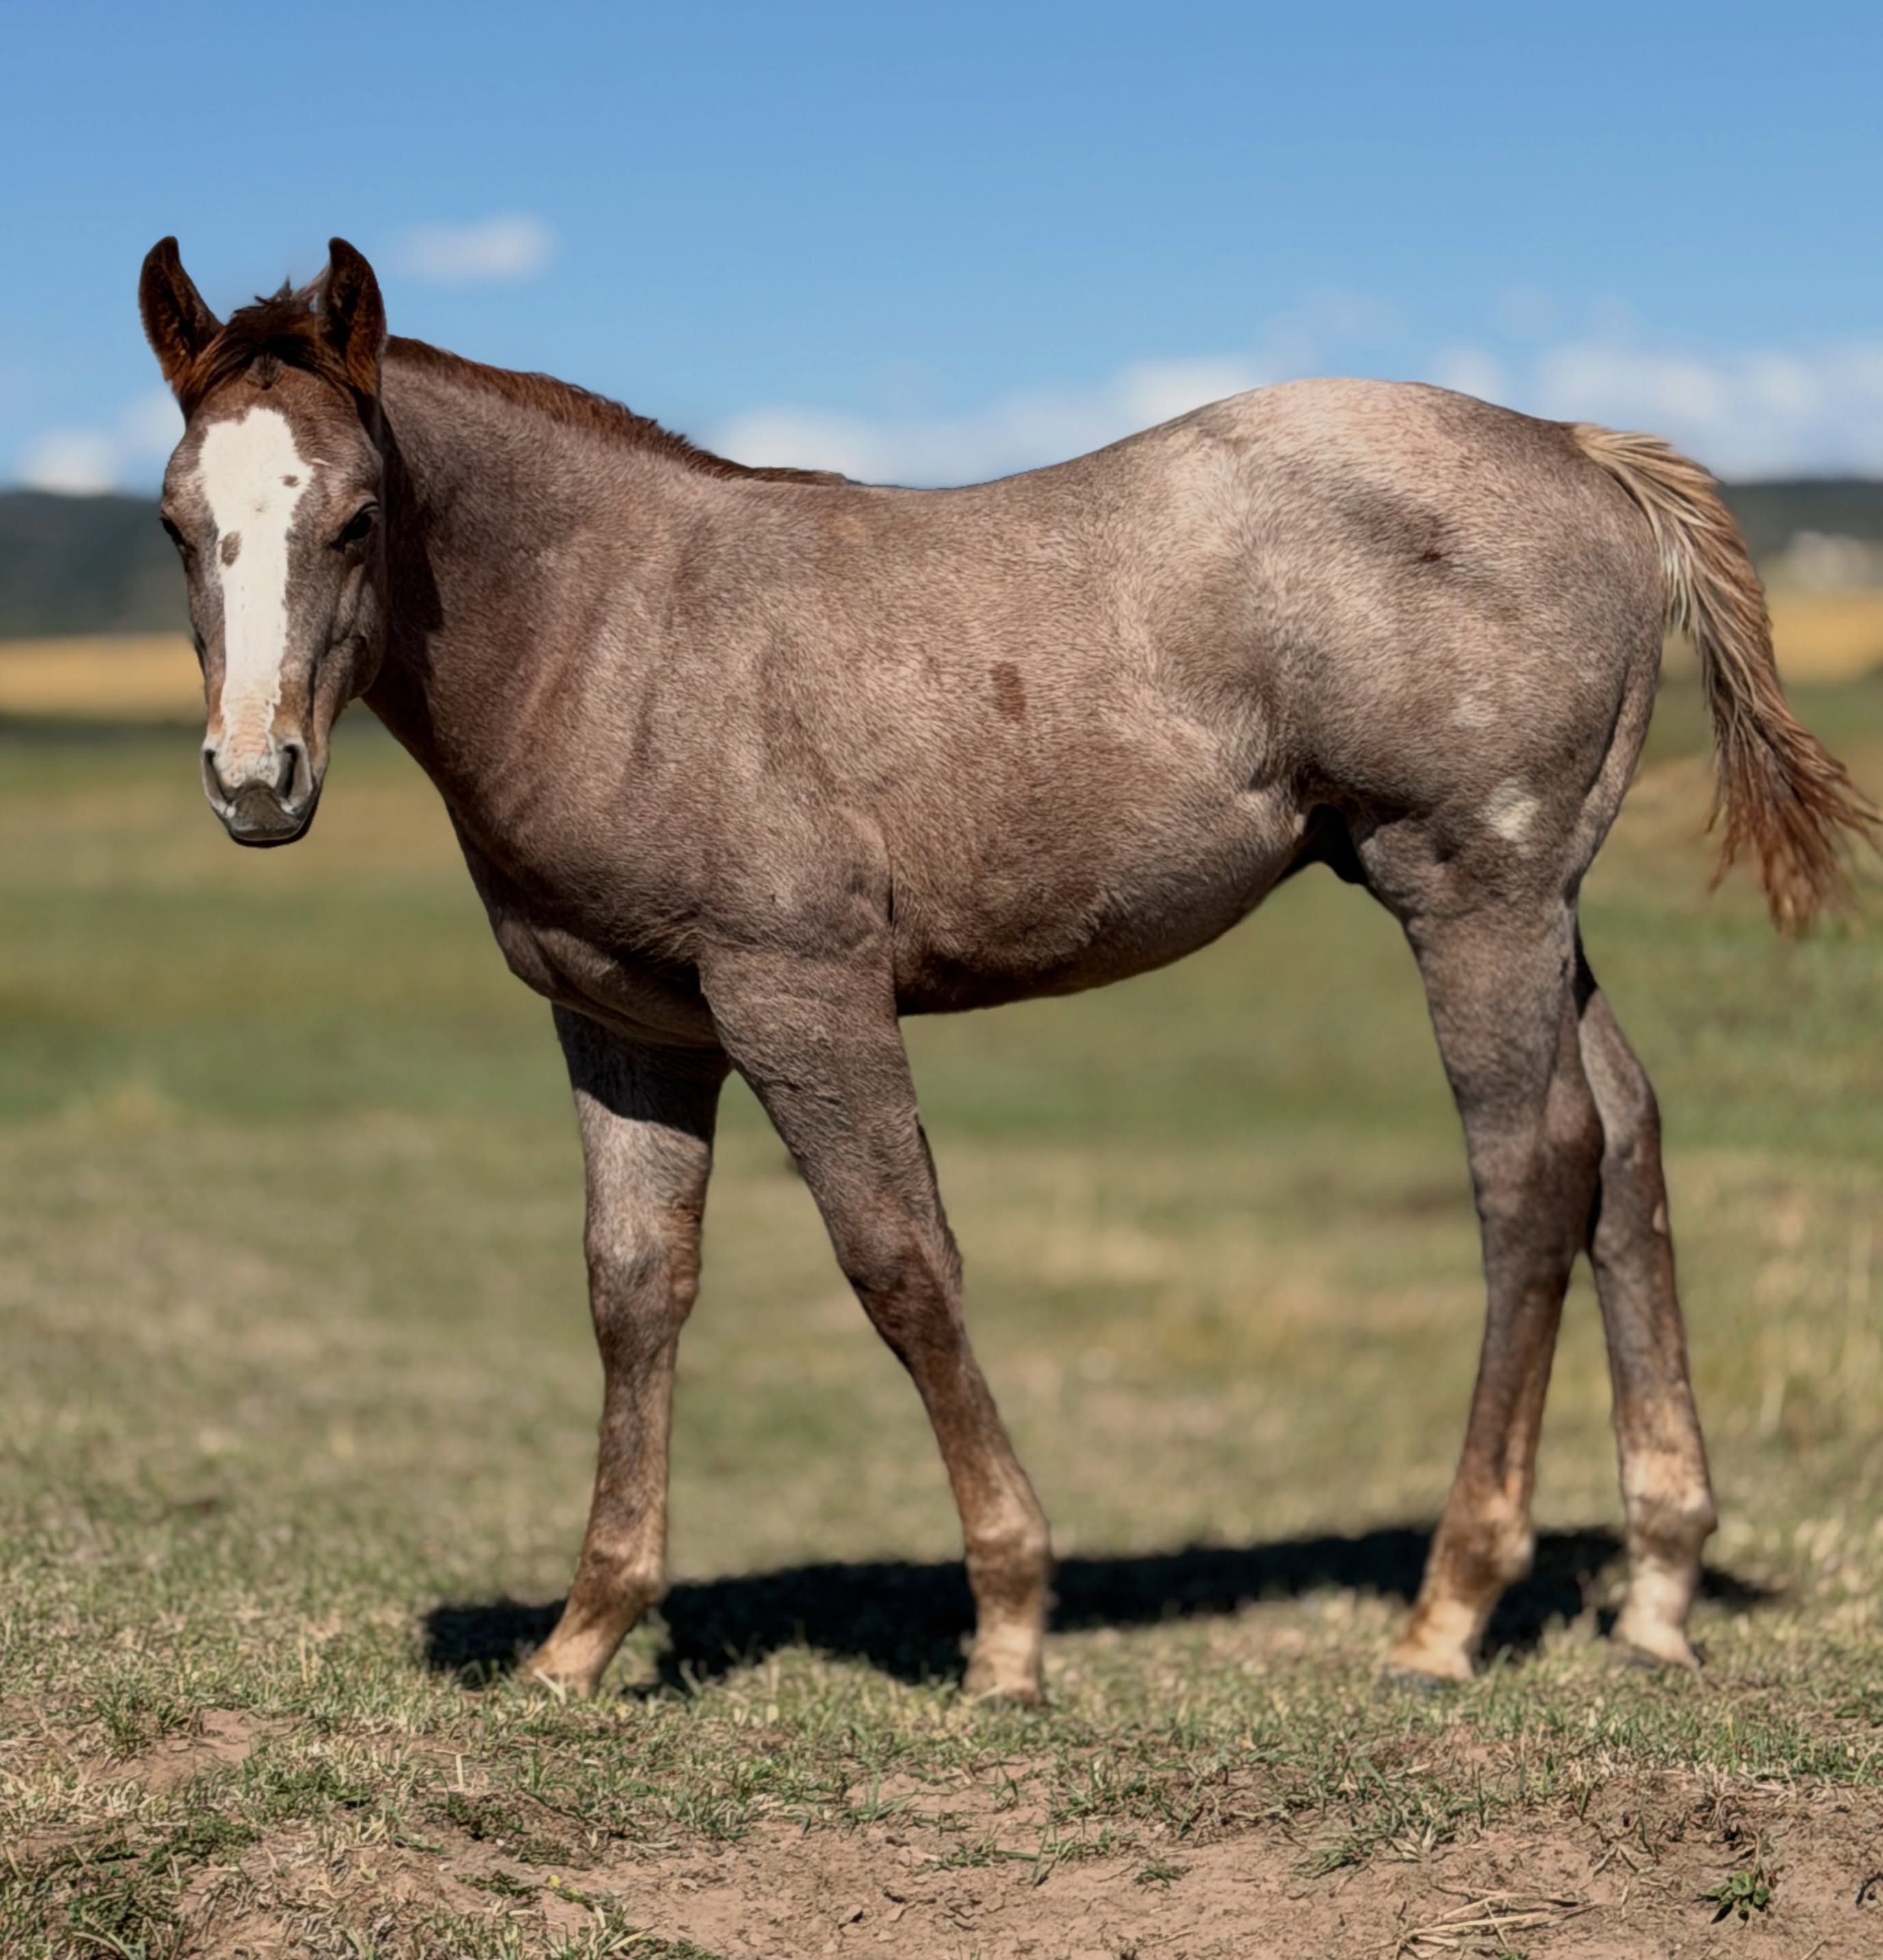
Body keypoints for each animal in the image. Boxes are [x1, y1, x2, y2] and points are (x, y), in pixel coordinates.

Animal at [137, 236, 1876, 1700]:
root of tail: (1581, 448)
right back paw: (1655, 1589)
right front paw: (580, 1638)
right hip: (1538, 908)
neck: (624, 629)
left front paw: (1010, 1624)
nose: (255, 782)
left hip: (1472, 896)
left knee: (1532, 1169)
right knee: (1628, 1141)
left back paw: (1446, 1613)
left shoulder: (800, 990)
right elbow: (633, 1288)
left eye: (359, 516)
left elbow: (901, 1264)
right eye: (176, 525)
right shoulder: (625, 1025)